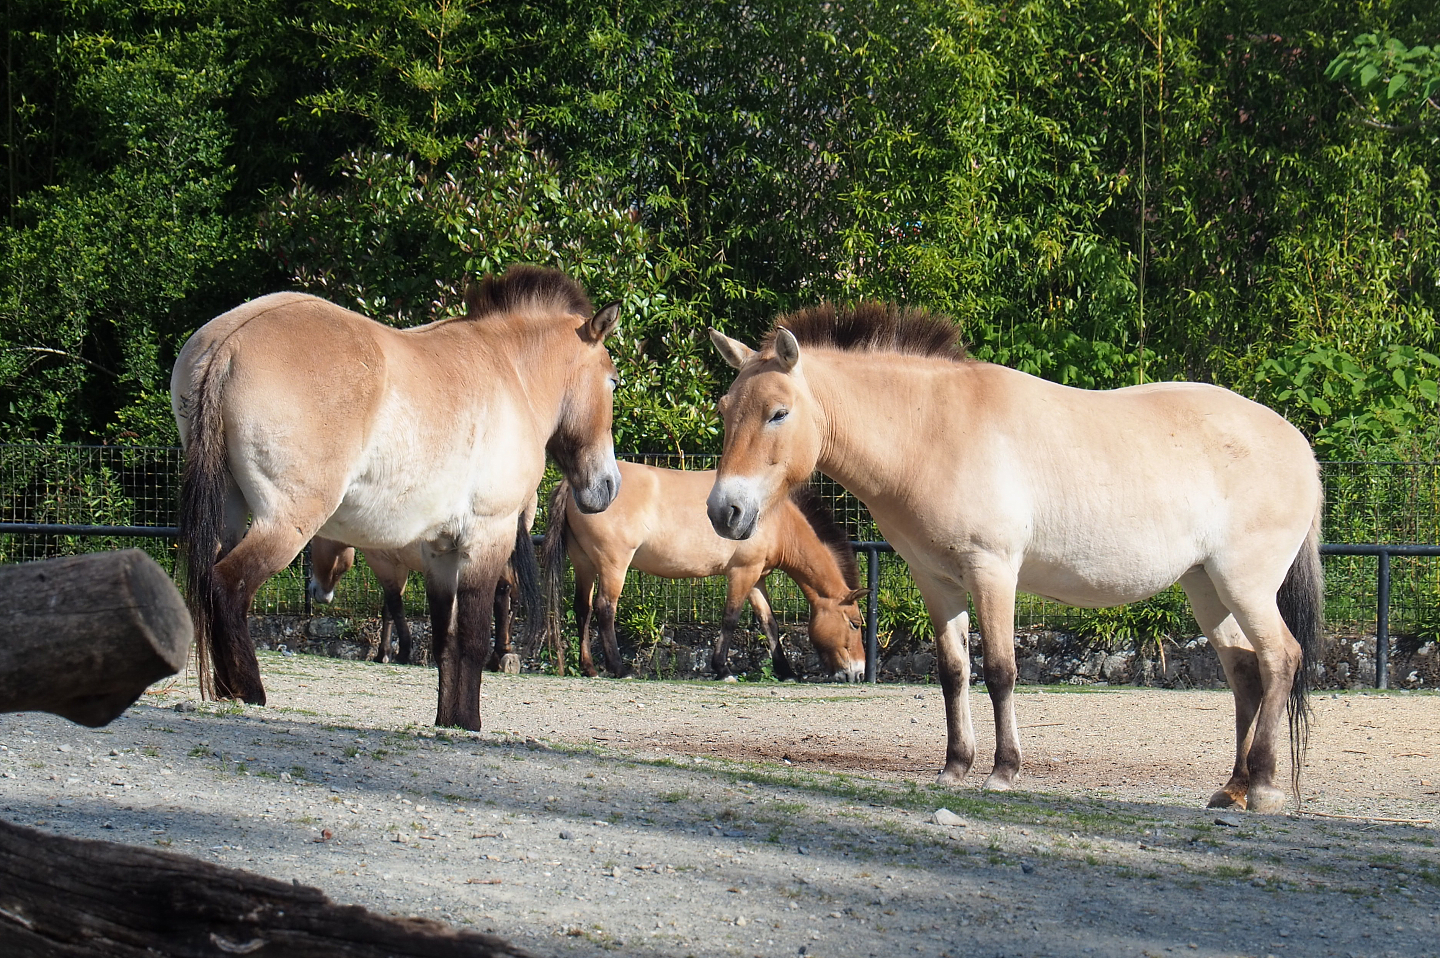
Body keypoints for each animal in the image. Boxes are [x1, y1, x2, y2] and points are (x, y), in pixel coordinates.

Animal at [308, 493, 539, 667]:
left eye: (313, 547)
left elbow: (395, 605)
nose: (314, 590)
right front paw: (384, 653)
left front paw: (401, 652)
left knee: (503, 593)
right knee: (511, 595)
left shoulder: (384, 563)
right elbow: (388, 609)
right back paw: (501, 653)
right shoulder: (397, 566)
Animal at [541, 461, 868, 681]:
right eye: (855, 623)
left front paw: (786, 671)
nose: (859, 673)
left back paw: (590, 668)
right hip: (613, 565)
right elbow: (730, 618)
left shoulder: (756, 578)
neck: (777, 517)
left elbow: (770, 623)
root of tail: (572, 486)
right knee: (604, 609)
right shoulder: (741, 573)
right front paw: (722, 669)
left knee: (582, 609)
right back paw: (620, 669)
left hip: (584, 563)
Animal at [706, 302, 1323, 813]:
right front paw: (954, 768)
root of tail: (1299, 445)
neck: (932, 431)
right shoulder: (938, 582)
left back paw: (1263, 786)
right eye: (724, 409)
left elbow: (1001, 670)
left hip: (1244, 585)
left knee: (1281, 658)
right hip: (1207, 589)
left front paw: (1003, 772)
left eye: (778, 413)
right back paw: (1233, 788)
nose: (724, 511)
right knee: (1245, 672)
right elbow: (954, 672)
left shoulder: (992, 571)